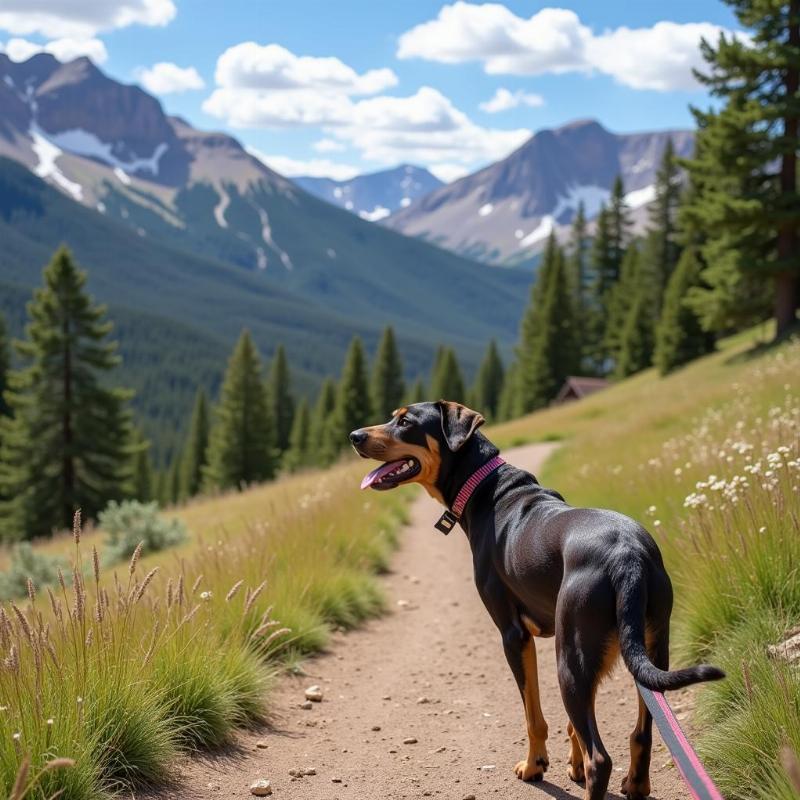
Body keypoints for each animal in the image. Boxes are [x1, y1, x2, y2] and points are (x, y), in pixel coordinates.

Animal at [350, 400, 724, 800]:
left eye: (405, 421)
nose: (354, 436)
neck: (486, 488)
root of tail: (628, 557)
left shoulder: (514, 635)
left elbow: (533, 715)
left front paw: (534, 766)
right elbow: (571, 725)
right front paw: (572, 765)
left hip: (572, 658)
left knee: (600, 759)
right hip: (645, 648)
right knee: (642, 732)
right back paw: (635, 785)